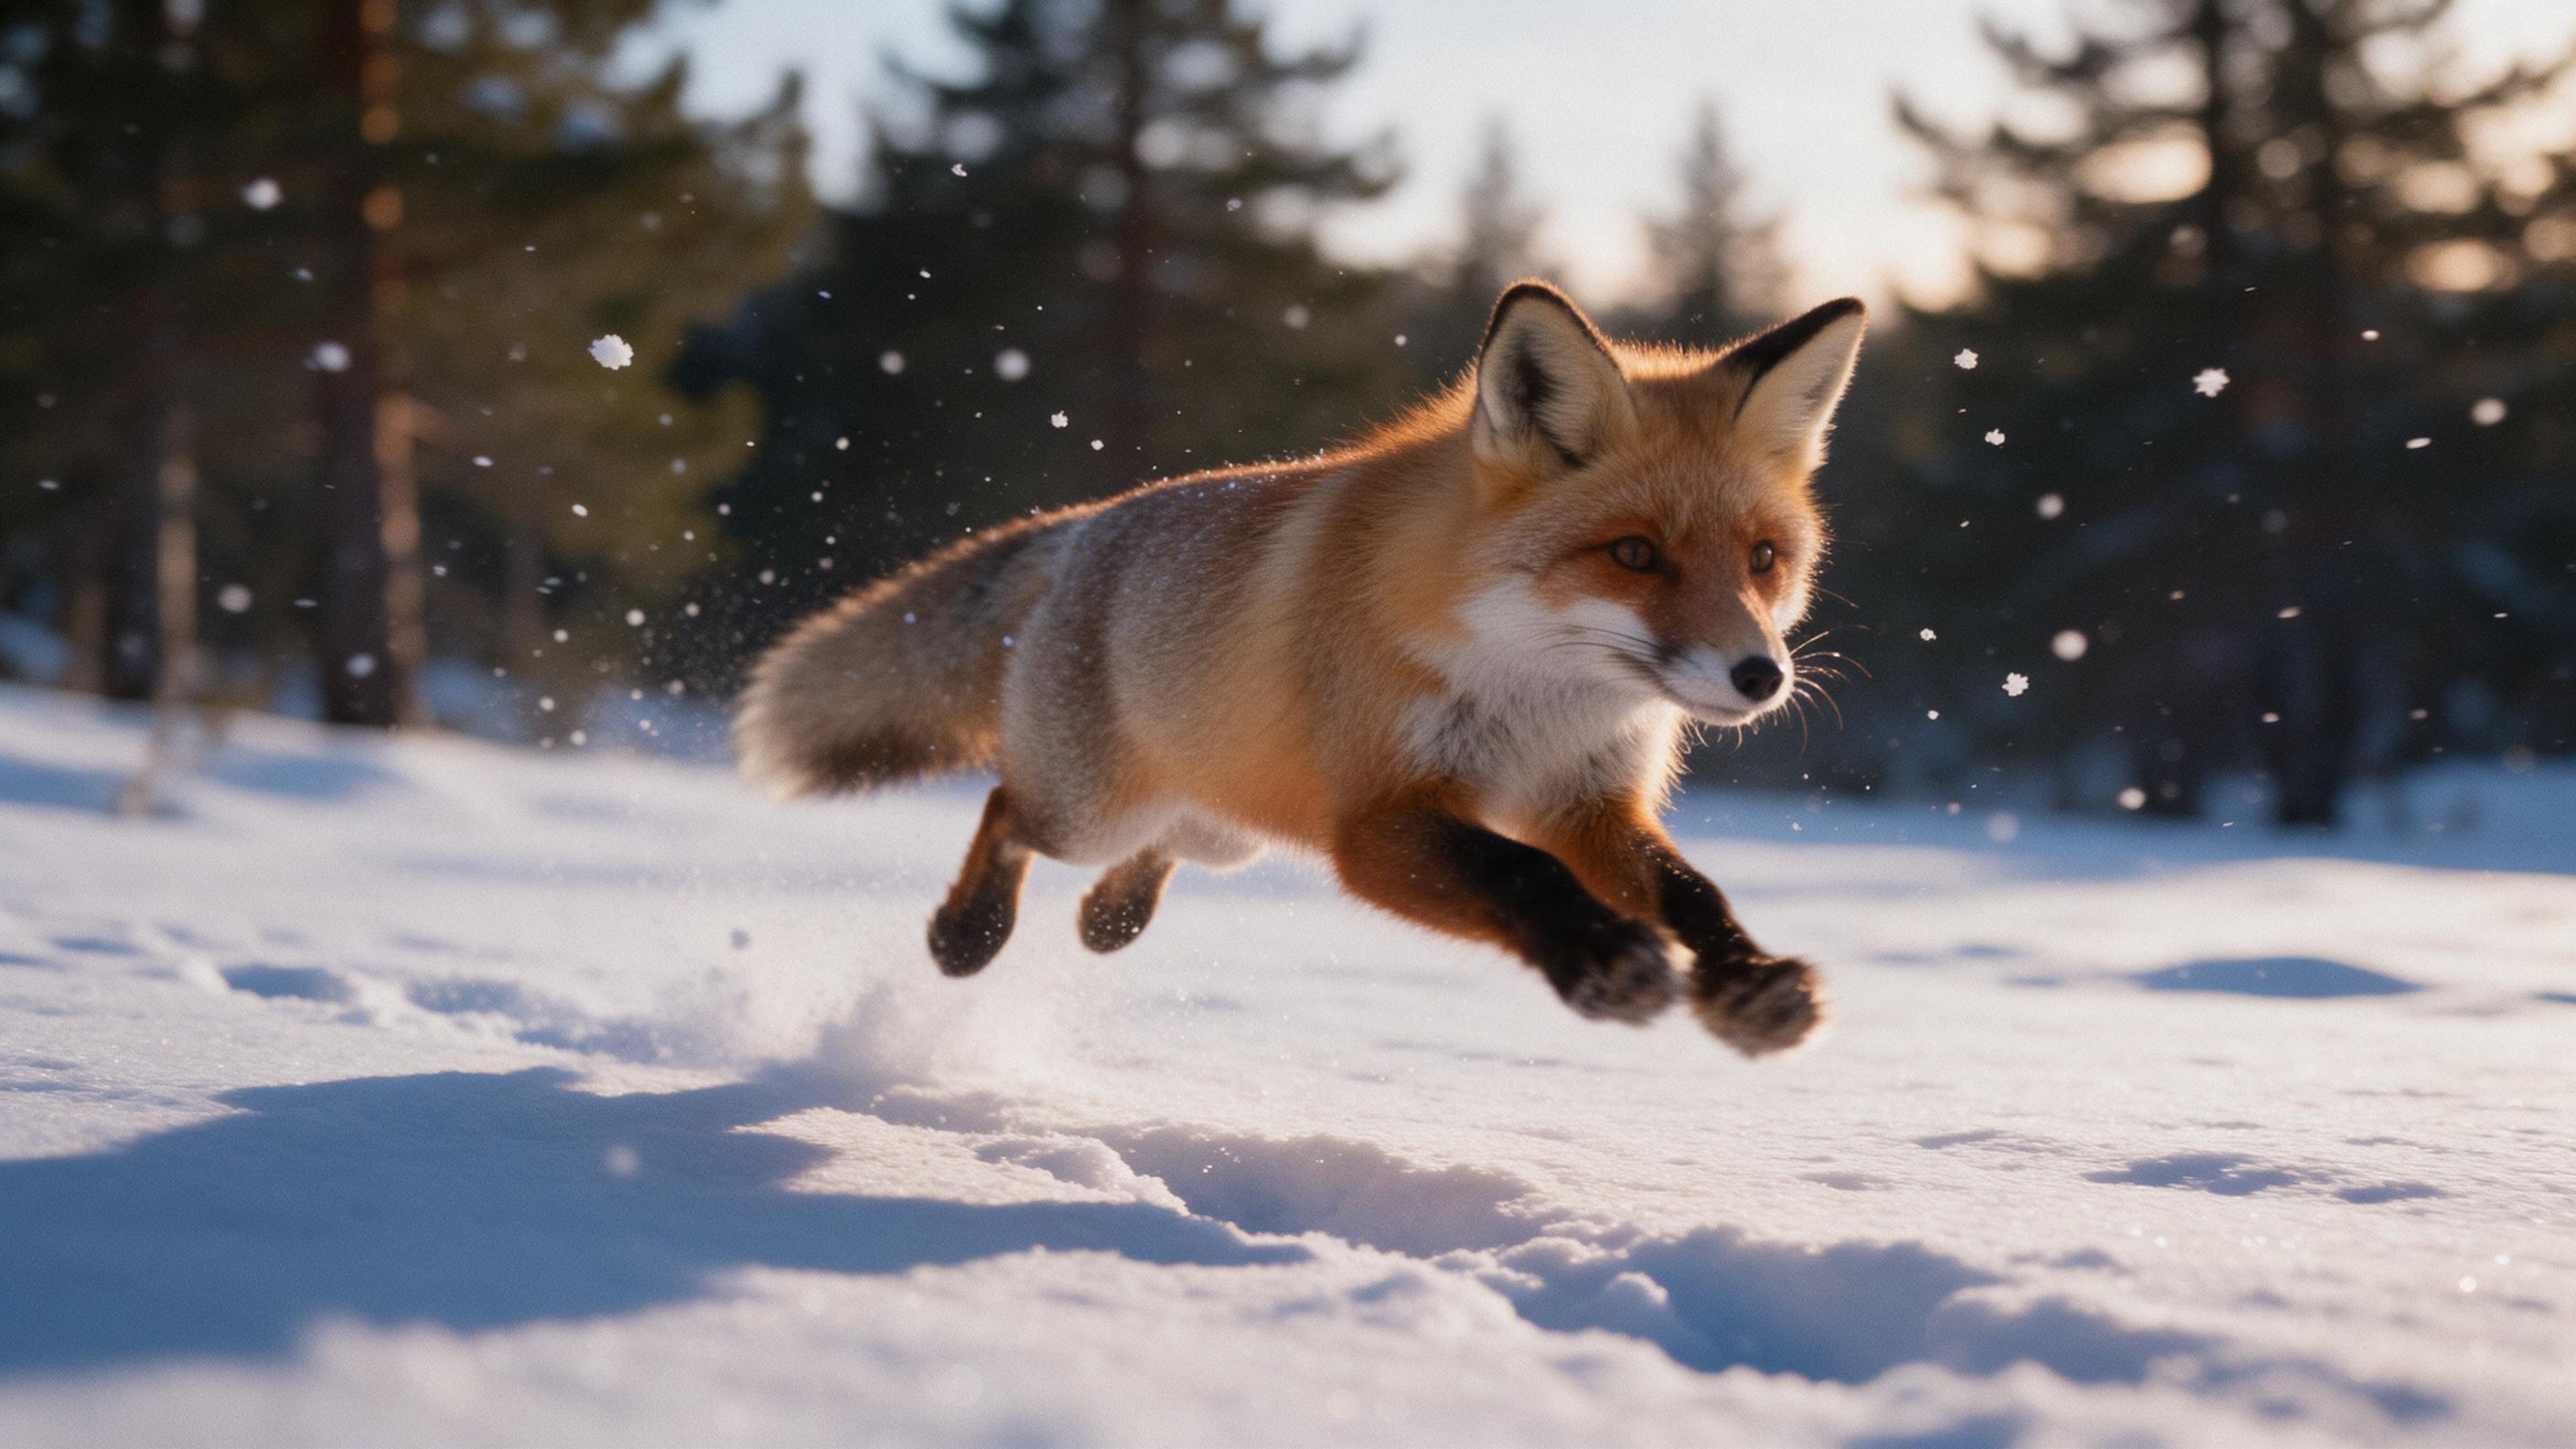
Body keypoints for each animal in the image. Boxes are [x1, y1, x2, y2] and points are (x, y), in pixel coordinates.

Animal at [735, 282, 1866, 1055]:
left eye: (1763, 559)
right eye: (1633, 554)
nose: (1759, 677)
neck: (1537, 693)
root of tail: (1085, 522)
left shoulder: (1587, 803)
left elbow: (1692, 891)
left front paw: (1747, 981)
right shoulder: (1377, 820)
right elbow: (1520, 871)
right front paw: (1599, 962)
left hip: (1224, 820)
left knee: (1162, 846)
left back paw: (1109, 919)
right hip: (1089, 807)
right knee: (1007, 807)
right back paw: (968, 934)